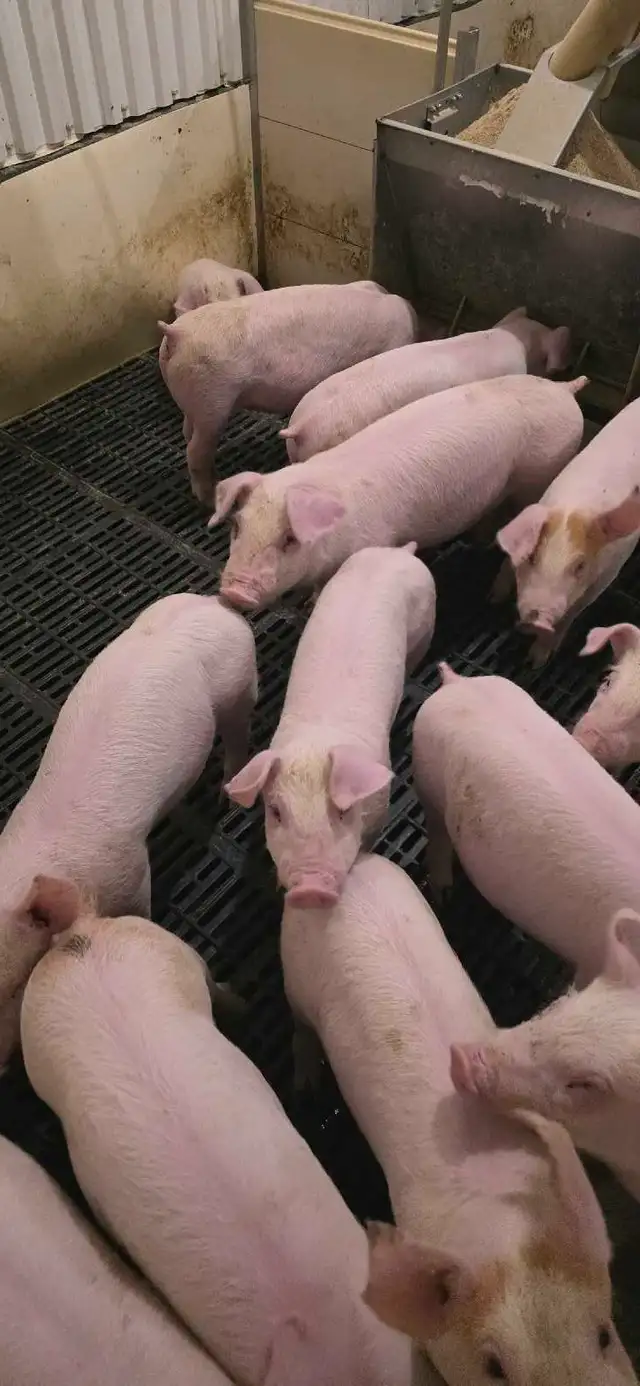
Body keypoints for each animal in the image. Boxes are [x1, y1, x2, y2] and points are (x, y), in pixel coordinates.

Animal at [0, 593, 257, 1068]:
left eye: (12, 986)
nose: (3, 1065)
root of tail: (215, 605)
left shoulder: (131, 872)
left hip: (240, 687)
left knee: (238, 736)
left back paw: (227, 796)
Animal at [158, 281, 417, 503]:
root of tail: (176, 334)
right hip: (213, 402)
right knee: (195, 450)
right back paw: (209, 496)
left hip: (196, 400)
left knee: (187, 432)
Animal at [211, 373, 586, 612]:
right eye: (237, 527)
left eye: (289, 539)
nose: (234, 592)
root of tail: (564, 388)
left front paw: (312, 604)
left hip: (541, 475)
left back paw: (492, 598)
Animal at [224, 545, 436, 906]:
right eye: (276, 812)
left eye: (342, 813)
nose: (310, 889)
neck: (316, 741)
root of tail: (397, 552)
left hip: (425, 629)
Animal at [495, 395, 640, 664]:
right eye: (532, 556)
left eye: (580, 566)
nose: (539, 618)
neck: (577, 506)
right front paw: (493, 597)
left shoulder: (607, 575)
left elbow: (573, 613)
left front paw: (536, 662)